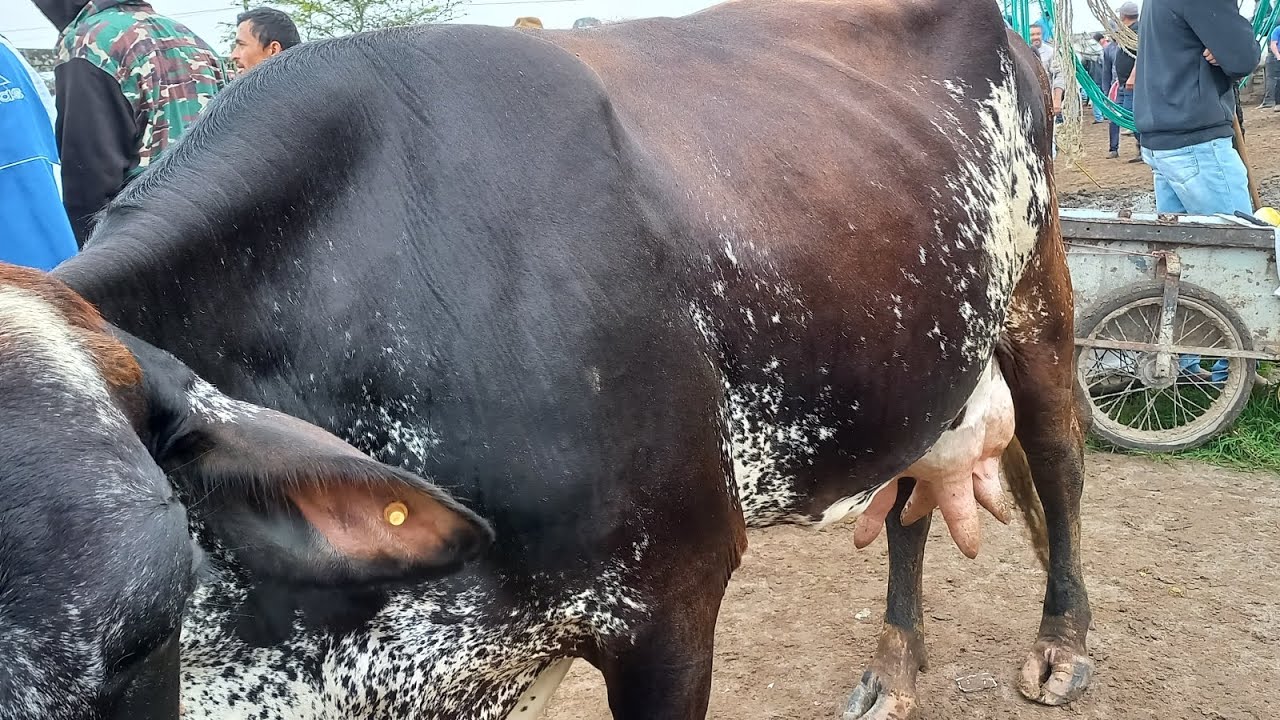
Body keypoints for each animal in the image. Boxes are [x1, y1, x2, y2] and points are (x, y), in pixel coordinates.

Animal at [1, 0, 1092, 718]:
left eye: (144, 628)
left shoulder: (672, 602)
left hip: (1037, 288)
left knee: (1057, 454)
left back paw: (1060, 647)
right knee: (912, 493)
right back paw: (896, 665)